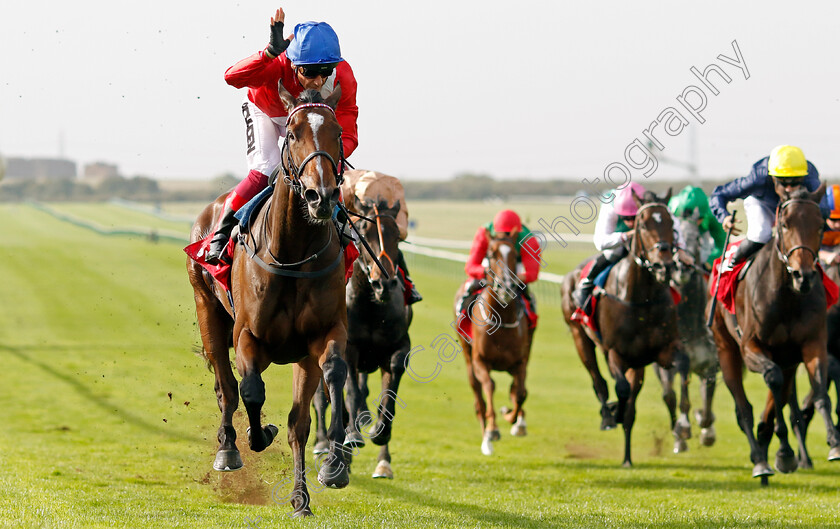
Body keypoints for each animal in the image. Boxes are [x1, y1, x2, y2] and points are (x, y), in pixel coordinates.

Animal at [187, 86, 348, 516]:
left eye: (338, 133)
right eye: (292, 133)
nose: (321, 195)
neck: (293, 253)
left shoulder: (322, 336)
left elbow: (329, 381)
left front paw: (333, 467)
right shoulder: (247, 335)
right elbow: (250, 391)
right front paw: (257, 436)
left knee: (295, 418)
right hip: (208, 312)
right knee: (226, 387)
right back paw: (228, 449)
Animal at [456, 234, 536, 454]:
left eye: (515, 254)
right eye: (491, 254)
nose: (506, 287)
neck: (501, 321)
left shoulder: (520, 362)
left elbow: (520, 393)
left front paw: (513, 418)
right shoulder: (480, 361)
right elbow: (490, 386)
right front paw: (492, 430)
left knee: (517, 390)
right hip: (467, 357)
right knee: (479, 399)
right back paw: (486, 439)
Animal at [560, 190, 680, 466]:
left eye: (671, 223)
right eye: (643, 224)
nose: (665, 265)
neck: (640, 298)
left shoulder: (656, 353)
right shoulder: (617, 352)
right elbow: (622, 389)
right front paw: (615, 413)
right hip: (580, 337)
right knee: (599, 381)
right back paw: (608, 414)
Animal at [708, 183, 840, 482]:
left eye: (820, 225)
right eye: (785, 223)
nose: (803, 276)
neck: (787, 297)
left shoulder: (813, 344)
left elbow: (819, 391)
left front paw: (834, 443)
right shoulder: (751, 346)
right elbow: (773, 380)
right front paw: (785, 452)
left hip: (787, 357)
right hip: (726, 349)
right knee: (743, 407)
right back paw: (760, 461)